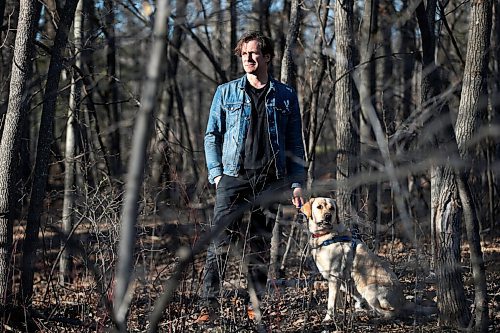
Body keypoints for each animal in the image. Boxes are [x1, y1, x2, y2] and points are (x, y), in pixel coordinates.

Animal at [300, 197, 434, 322]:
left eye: (332, 208)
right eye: (319, 207)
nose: (328, 216)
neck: (326, 236)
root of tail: (404, 301)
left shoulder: (334, 276)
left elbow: (331, 302)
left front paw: (328, 318)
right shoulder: (334, 279)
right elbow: (337, 300)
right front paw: (338, 314)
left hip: (369, 289)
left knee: (388, 313)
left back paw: (365, 315)